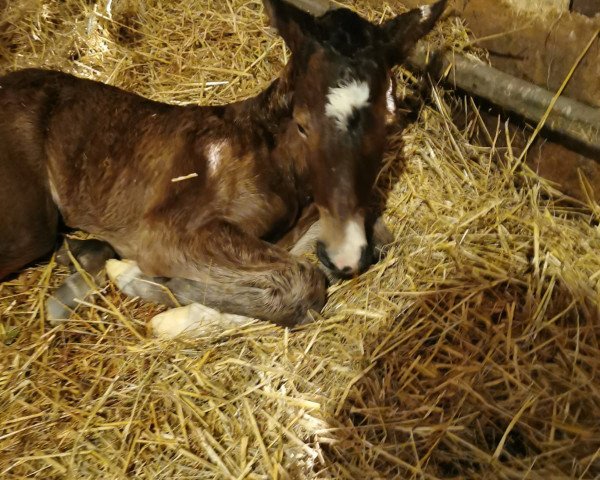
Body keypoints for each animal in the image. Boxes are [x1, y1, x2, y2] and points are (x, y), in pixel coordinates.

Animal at [0, 0, 446, 338]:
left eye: (388, 123)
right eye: (302, 124)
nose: (345, 255)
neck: (271, 153)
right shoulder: (167, 231)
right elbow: (304, 281)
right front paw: (148, 285)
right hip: (29, 229)